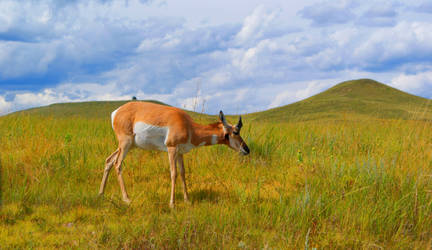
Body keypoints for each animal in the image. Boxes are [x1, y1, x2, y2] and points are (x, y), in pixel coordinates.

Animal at [98, 101, 250, 207]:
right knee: (117, 164)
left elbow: (182, 173)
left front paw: (187, 200)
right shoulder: (171, 149)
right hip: (125, 144)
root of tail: (116, 112)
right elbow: (173, 173)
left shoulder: (180, 153)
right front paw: (172, 203)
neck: (188, 126)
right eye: (235, 132)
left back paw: (101, 194)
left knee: (109, 160)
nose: (247, 149)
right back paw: (127, 199)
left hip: (128, 146)